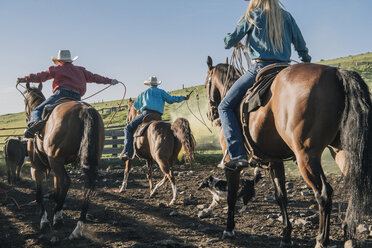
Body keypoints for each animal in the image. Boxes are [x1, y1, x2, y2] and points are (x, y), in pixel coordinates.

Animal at [23, 83, 104, 238]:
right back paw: (78, 226)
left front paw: (45, 221)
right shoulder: (55, 167)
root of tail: (85, 109)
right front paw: (57, 214)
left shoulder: (37, 167)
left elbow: (39, 194)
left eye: (25, 101)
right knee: (88, 185)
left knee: (67, 181)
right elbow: (57, 189)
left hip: (55, 160)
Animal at [205, 56, 372, 248]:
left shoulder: (232, 165)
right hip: (341, 152)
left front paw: (229, 229)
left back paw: (321, 239)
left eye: (206, 83)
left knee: (323, 194)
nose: (210, 114)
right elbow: (281, 196)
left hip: (306, 156)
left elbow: (231, 195)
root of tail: (335, 73)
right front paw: (286, 235)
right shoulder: (275, 162)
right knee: (354, 187)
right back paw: (348, 233)